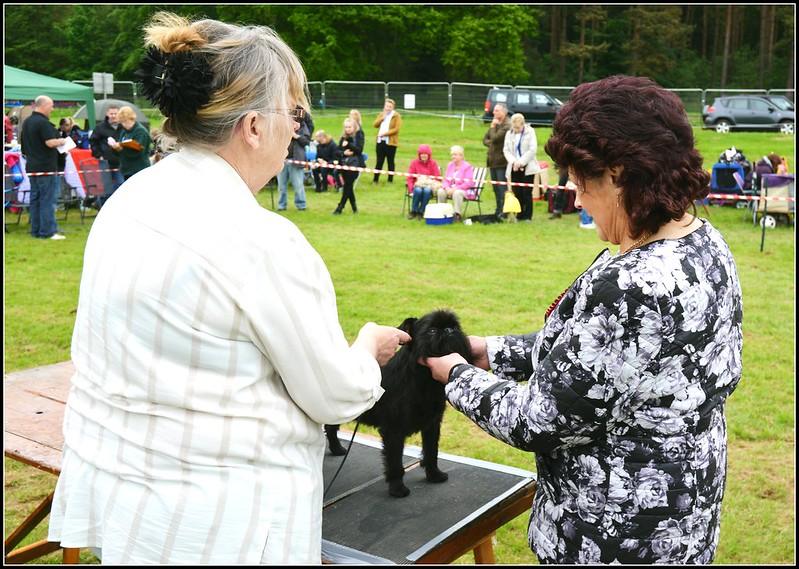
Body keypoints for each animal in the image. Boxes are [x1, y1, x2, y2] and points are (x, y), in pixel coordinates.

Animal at [326, 310, 472, 496]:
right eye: (431, 330)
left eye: (455, 326)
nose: (449, 330)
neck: (424, 379)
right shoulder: (394, 431)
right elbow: (395, 462)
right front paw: (397, 488)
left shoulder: (432, 425)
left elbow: (431, 452)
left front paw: (434, 475)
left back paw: (337, 449)